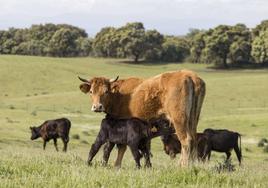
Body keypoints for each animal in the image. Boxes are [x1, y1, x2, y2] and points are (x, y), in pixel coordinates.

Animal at [78, 70, 206, 167]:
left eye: (105, 91)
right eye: (91, 91)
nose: (97, 107)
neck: (118, 95)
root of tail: (189, 75)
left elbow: (121, 147)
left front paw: (117, 165)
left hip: (179, 120)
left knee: (186, 140)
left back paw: (183, 166)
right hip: (193, 120)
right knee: (194, 139)